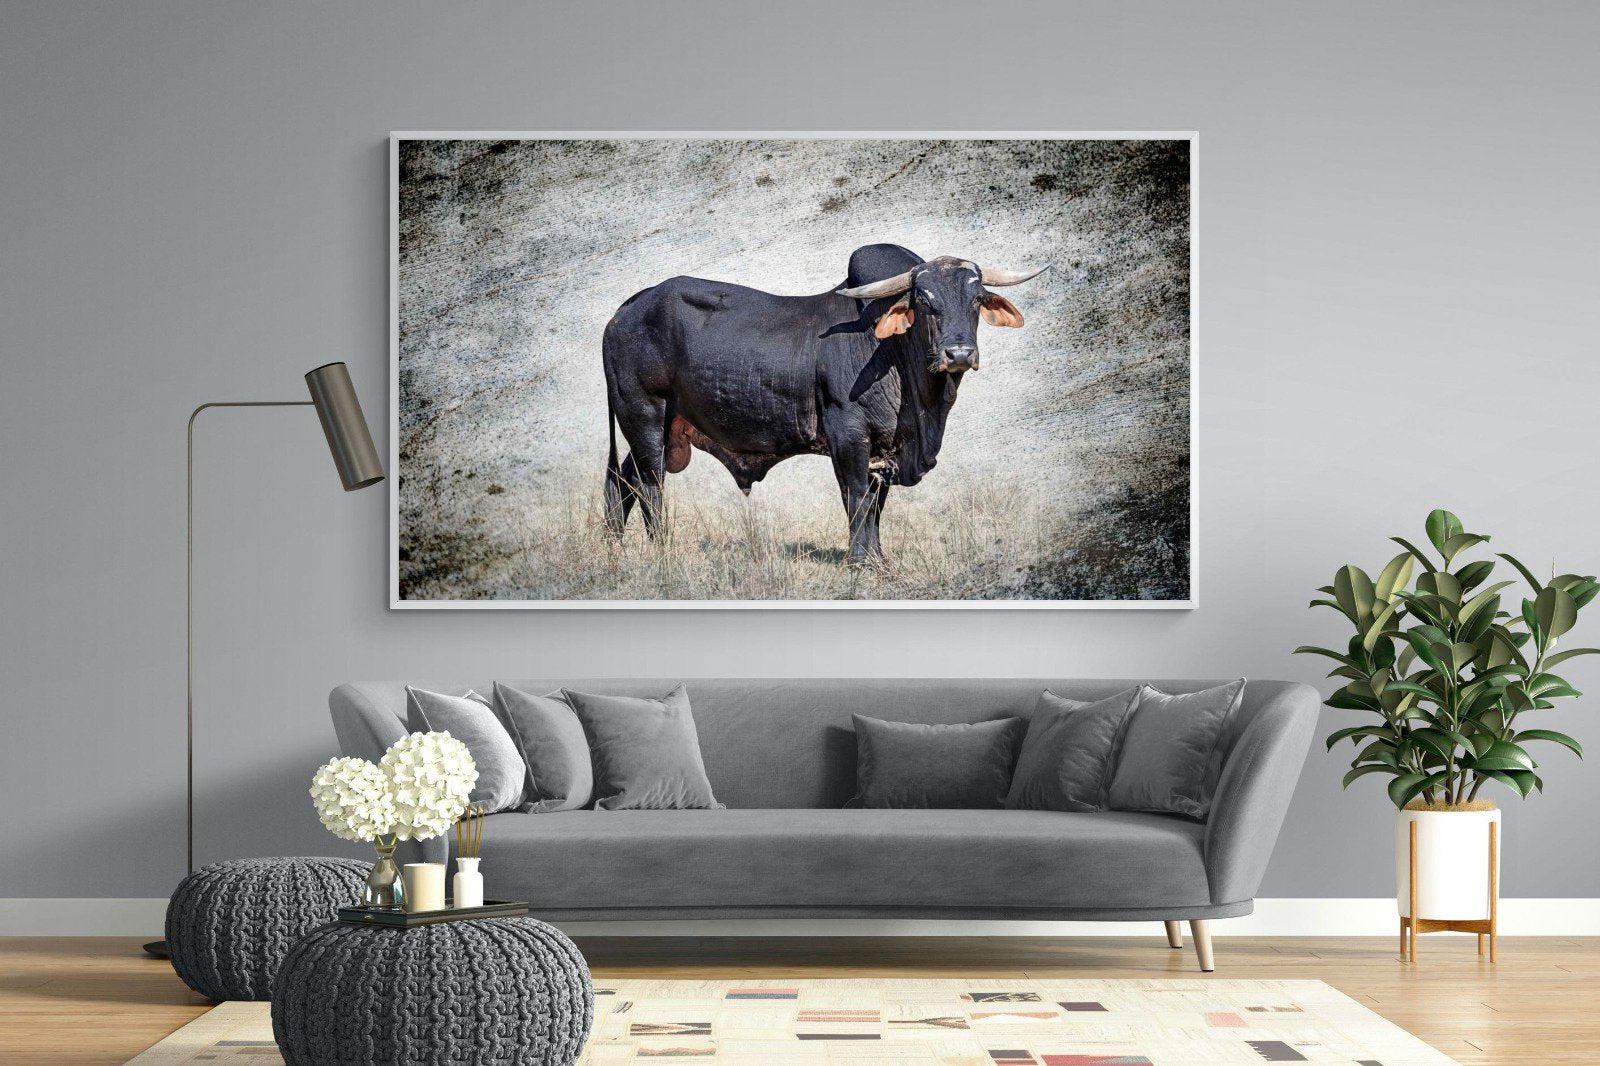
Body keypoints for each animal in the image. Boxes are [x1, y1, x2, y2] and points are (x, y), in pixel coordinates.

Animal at [601, 244, 1046, 564]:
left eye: (976, 298)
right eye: (924, 299)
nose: (959, 353)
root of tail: (627, 309)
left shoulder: (884, 448)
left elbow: (876, 503)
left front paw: (878, 558)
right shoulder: (847, 435)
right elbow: (857, 496)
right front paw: (860, 561)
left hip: (660, 428)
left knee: (622, 481)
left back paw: (614, 545)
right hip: (644, 416)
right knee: (649, 485)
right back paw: (661, 547)